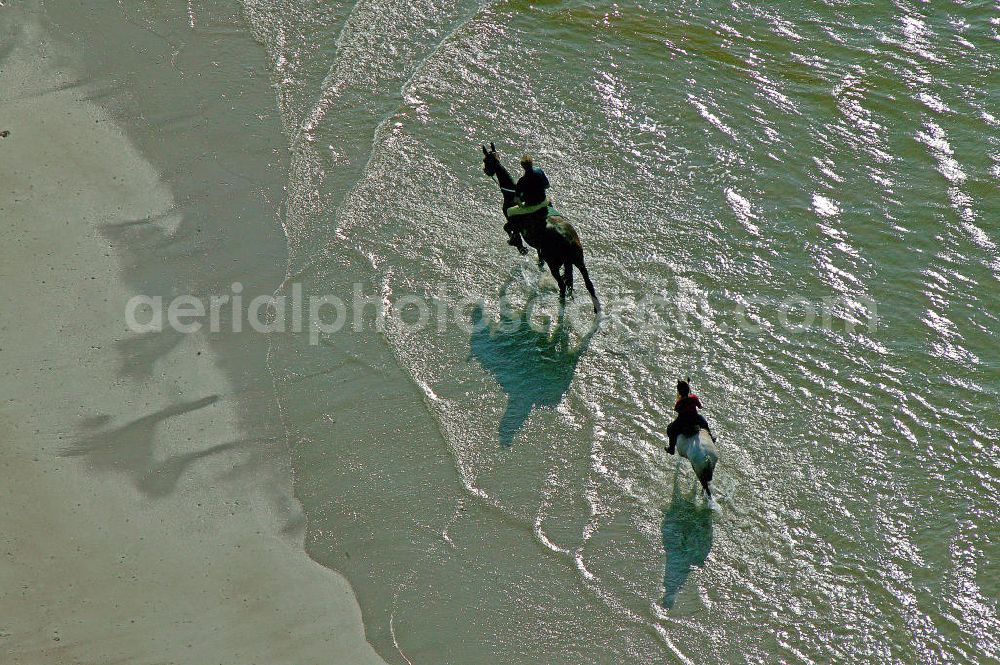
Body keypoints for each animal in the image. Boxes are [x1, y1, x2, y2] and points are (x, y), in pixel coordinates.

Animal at [480, 141, 596, 312]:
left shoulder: (512, 221)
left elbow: (508, 230)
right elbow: (539, 256)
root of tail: (568, 240)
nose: (485, 170)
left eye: (486, 160)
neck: (511, 193)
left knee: (562, 285)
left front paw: (519, 245)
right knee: (589, 285)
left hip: (554, 264)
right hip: (579, 262)